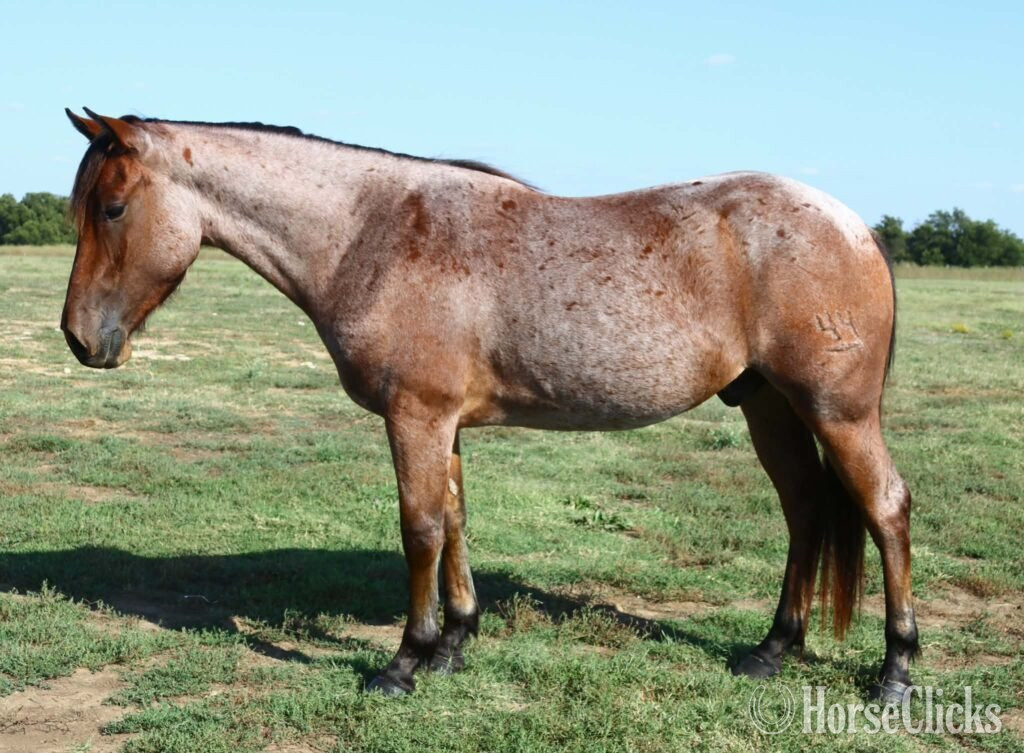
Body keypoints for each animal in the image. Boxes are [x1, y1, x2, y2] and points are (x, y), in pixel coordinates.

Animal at [61, 108, 919, 701]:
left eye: (112, 208)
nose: (79, 338)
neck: (368, 232)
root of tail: (854, 225)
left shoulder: (415, 416)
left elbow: (418, 529)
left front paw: (404, 661)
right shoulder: (443, 424)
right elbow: (455, 522)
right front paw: (455, 644)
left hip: (837, 412)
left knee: (885, 507)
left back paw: (897, 670)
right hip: (768, 405)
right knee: (806, 509)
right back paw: (773, 649)